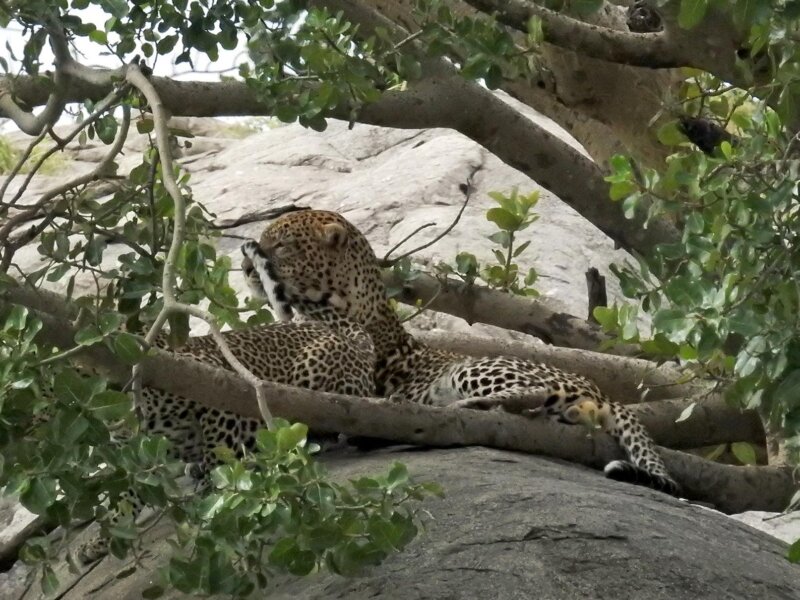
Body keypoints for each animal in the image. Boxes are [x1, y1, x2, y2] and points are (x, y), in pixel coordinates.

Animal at [74, 317, 375, 563]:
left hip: (313, 375)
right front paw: (101, 539)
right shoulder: (137, 455)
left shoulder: (218, 391)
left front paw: (214, 492)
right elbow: (126, 500)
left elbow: (217, 451)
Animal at [240, 208, 681, 497]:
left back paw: (467, 406)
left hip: (477, 367)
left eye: (282, 245)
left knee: (531, 393)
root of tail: (600, 390)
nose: (246, 267)